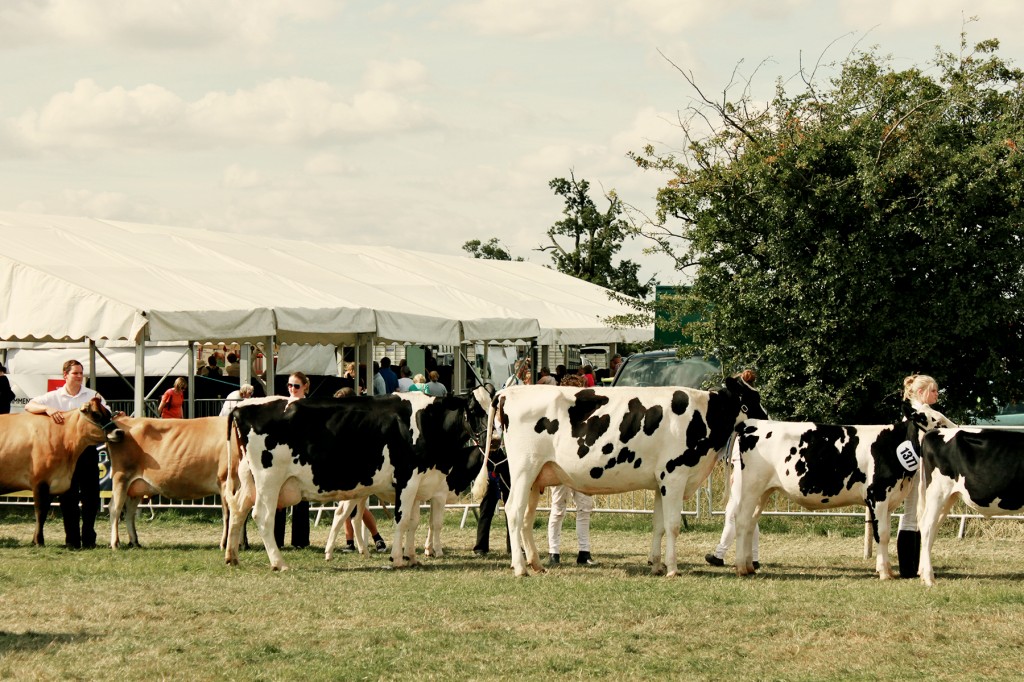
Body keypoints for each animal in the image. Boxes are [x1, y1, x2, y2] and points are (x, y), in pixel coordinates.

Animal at [0, 395, 123, 544]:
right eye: (96, 414)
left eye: (109, 414)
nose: (119, 432)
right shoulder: (40, 481)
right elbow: (40, 512)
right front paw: (39, 541)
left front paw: (36, 540)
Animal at [226, 382, 489, 569]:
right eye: (473, 409)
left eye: (494, 406)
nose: (493, 438)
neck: (425, 421)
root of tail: (242, 407)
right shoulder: (408, 477)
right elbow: (402, 519)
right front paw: (397, 558)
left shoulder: (420, 482)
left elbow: (413, 522)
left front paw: (412, 556)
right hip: (269, 480)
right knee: (262, 516)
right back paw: (279, 563)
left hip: (249, 478)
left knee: (238, 509)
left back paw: (232, 557)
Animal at [471, 376, 770, 573]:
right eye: (751, 400)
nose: (768, 422)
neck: (701, 415)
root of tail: (508, 393)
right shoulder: (674, 477)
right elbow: (673, 525)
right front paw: (673, 569)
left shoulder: (660, 482)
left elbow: (659, 525)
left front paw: (656, 565)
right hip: (523, 469)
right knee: (513, 511)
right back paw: (520, 568)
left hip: (536, 477)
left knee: (526, 517)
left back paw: (536, 564)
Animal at [733, 401, 937, 581]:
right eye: (931, 421)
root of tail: (751, 424)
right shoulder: (878, 496)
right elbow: (883, 535)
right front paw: (884, 574)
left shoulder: (889, 500)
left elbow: (884, 535)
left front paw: (887, 570)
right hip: (751, 487)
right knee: (742, 521)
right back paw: (741, 568)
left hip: (763, 492)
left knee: (751, 523)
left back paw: (750, 566)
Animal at [917, 425, 1024, 585]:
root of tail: (933, 432)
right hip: (938, 491)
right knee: (927, 526)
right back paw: (929, 578)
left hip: (948, 497)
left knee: (933, 528)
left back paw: (924, 575)